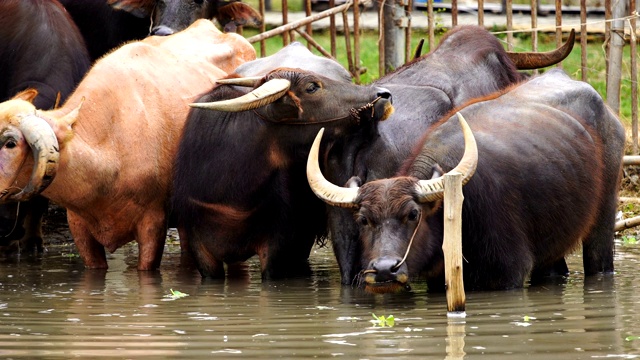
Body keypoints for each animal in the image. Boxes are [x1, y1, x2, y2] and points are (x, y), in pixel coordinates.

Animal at [310, 68, 624, 292]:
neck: (458, 210)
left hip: (605, 214)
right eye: (363, 220)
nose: (386, 269)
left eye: (413, 215)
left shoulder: (508, 273)